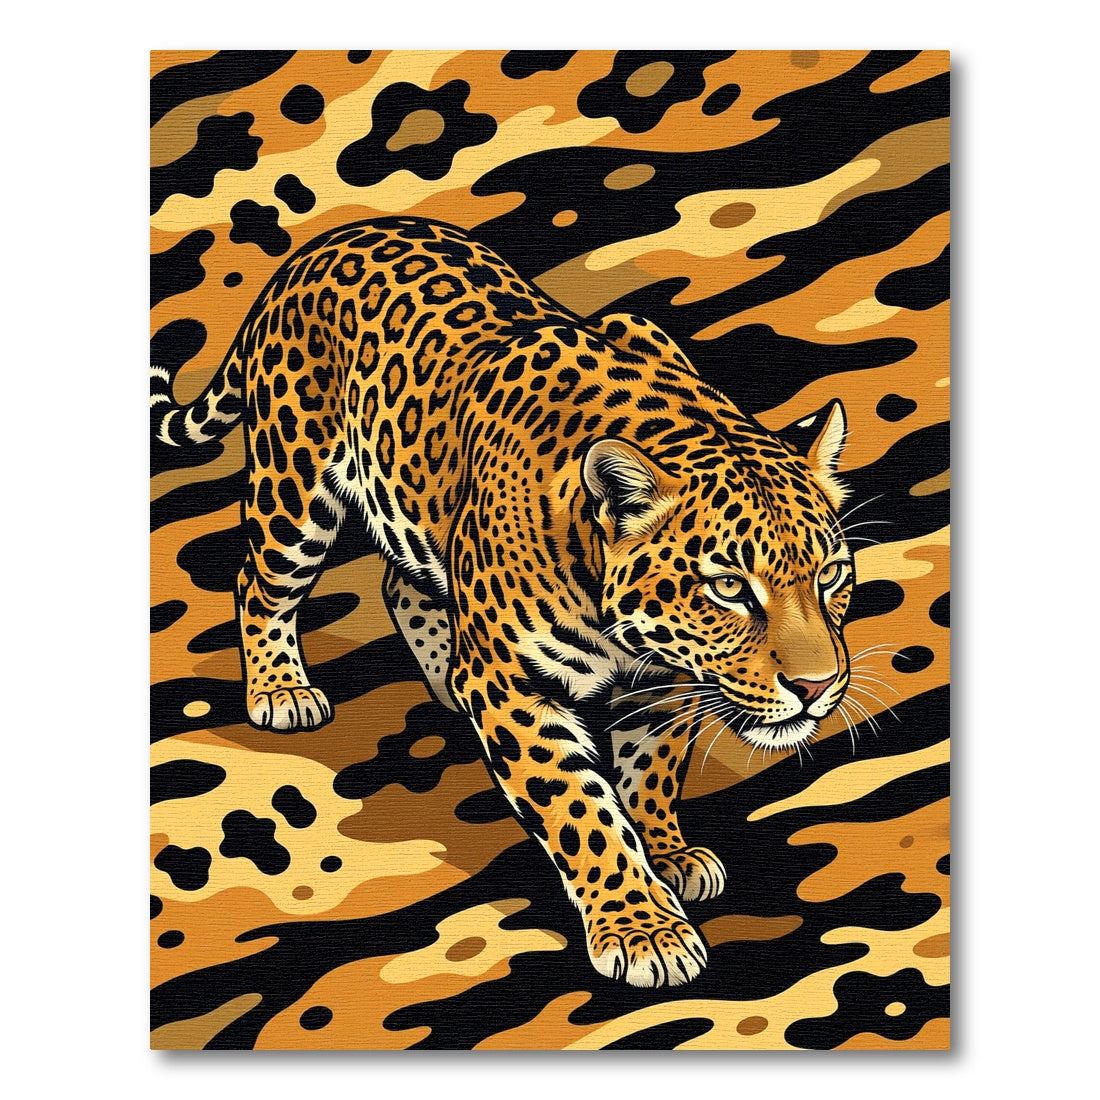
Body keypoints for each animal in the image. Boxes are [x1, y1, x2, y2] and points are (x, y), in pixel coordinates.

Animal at [151, 216, 855, 989]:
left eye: (830, 575)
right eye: (728, 587)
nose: (819, 687)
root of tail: (322, 244)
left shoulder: (662, 685)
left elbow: (650, 771)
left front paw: (667, 852)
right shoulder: (516, 690)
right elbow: (584, 815)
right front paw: (643, 931)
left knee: (400, 580)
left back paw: (443, 678)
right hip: (293, 488)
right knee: (259, 581)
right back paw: (282, 691)